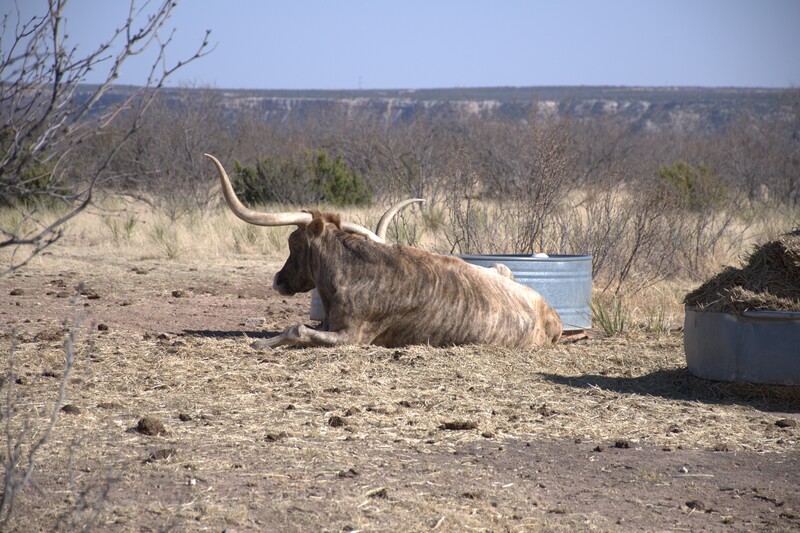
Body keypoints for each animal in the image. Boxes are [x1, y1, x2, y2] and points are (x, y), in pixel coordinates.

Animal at [205, 153, 564, 350]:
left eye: (294, 243)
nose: (278, 280)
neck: (351, 271)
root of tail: (553, 317)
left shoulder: (354, 335)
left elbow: (296, 328)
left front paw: (260, 342)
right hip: (501, 268)